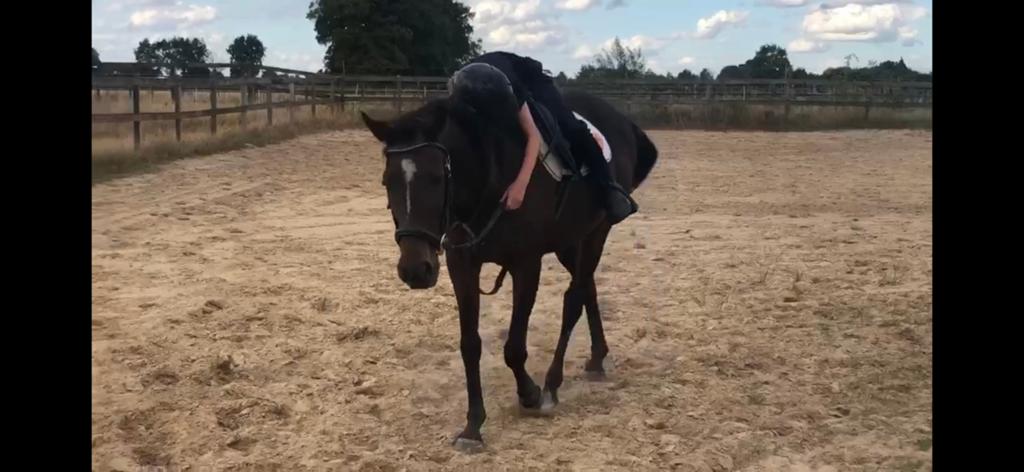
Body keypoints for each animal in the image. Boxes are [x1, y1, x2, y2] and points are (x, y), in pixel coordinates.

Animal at [360, 89, 658, 452]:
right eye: (386, 181)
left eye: (435, 178)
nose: (416, 270)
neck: (490, 175)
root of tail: (621, 121)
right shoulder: (462, 266)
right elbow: (470, 345)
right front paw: (473, 426)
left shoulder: (526, 265)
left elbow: (514, 347)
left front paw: (530, 394)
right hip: (569, 242)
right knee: (588, 288)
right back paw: (597, 359)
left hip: (594, 233)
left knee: (574, 299)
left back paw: (553, 383)